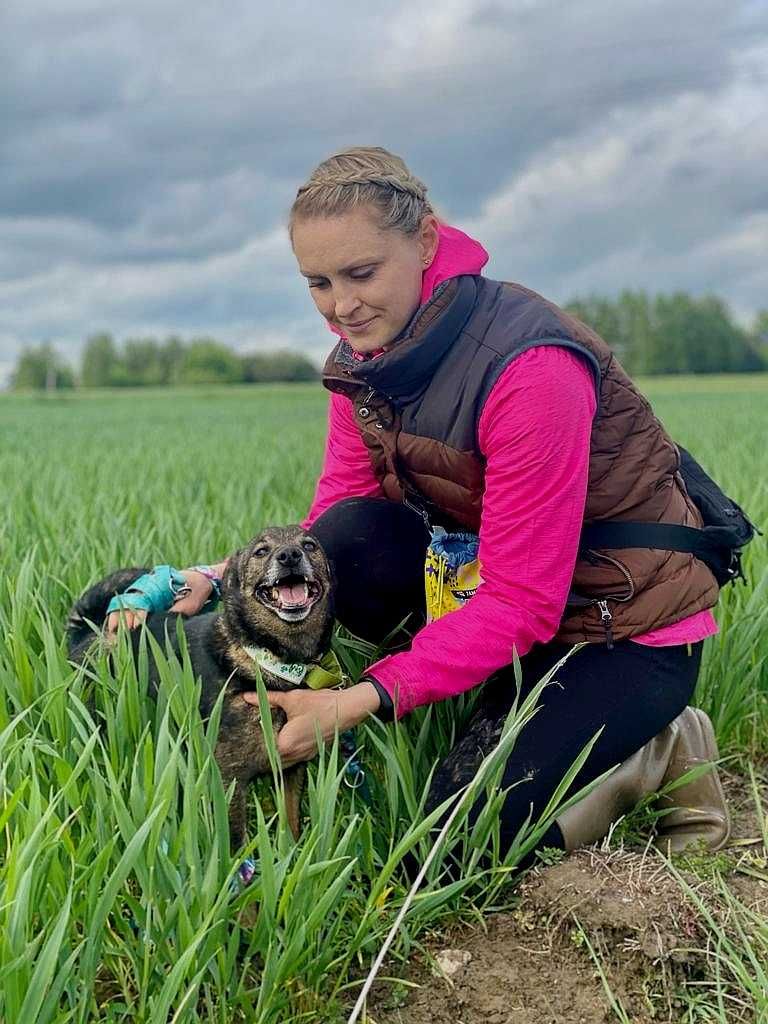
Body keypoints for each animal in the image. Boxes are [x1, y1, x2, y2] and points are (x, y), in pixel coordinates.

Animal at [64, 528, 333, 847]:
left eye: (310, 545)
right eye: (261, 551)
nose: (290, 556)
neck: (267, 658)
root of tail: (89, 632)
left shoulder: (291, 769)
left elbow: (290, 825)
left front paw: (290, 855)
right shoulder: (227, 778)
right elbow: (235, 842)